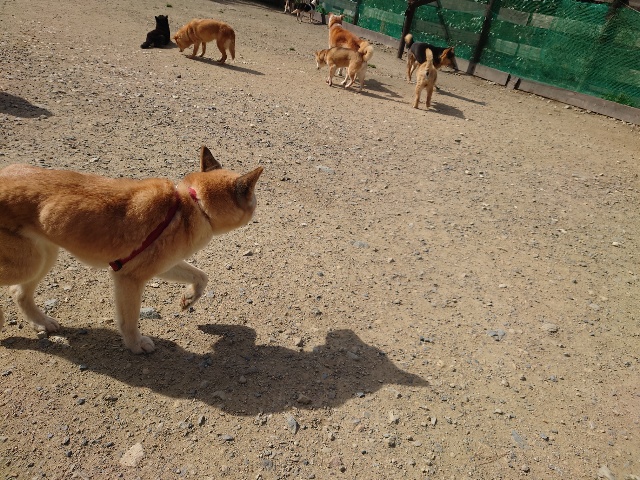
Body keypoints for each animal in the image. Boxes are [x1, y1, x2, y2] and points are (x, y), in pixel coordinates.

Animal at [0, 146, 263, 354]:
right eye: (252, 196)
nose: (257, 206)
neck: (191, 205)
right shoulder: (129, 278)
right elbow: (129, 320)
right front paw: (136, 345)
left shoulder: (161, 265)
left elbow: (201, 277)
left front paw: (188, 299)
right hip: (28, 263)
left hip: (42, 256)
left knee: (18, 292)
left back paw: (42, 322)